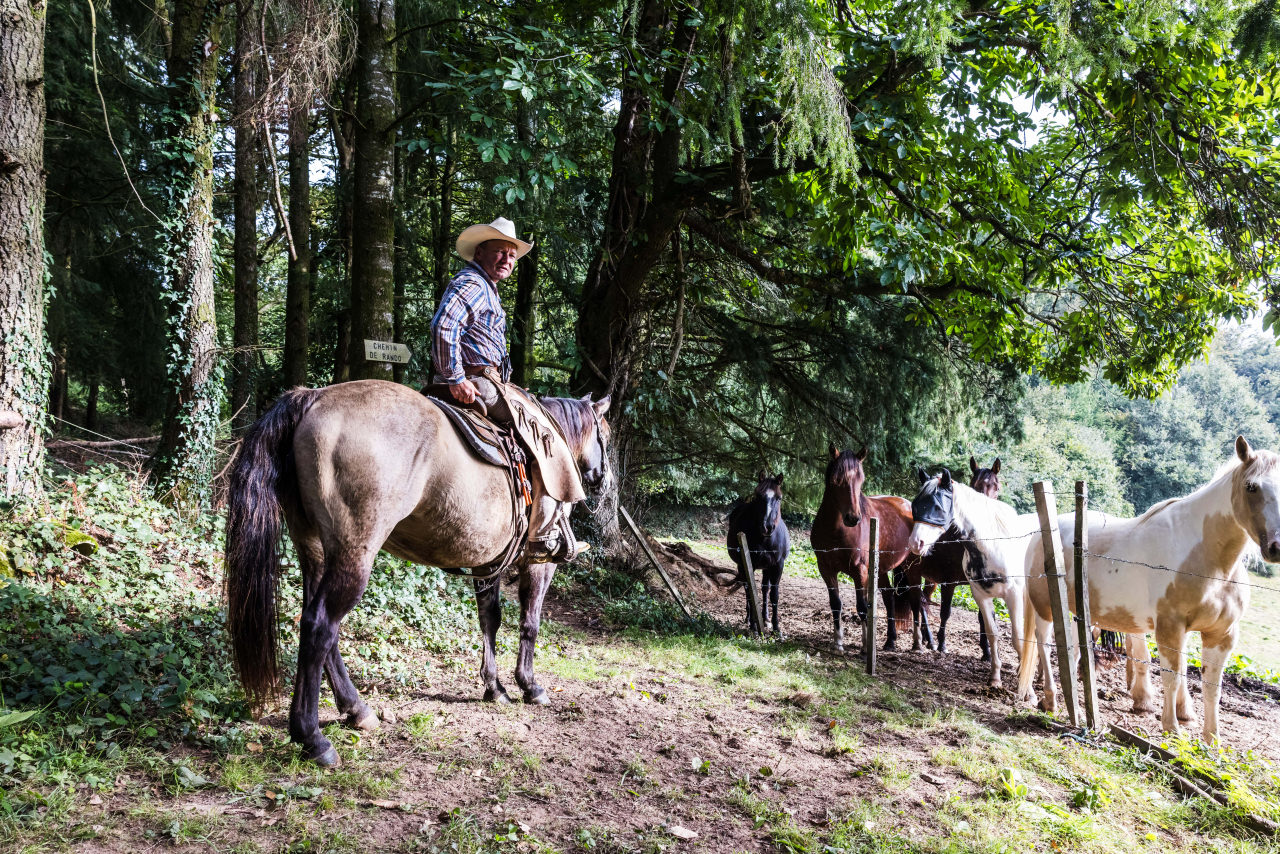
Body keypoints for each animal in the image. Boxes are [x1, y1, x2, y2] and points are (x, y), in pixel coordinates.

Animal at [222, 381, 611, 768]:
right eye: (605, 434)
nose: (604, 481)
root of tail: (313, 397)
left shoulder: (487, 563)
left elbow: (490, 620)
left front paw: (494, 687)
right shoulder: (540, 562)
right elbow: (529, 624)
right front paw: (530, 686)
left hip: (314, 549)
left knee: (314, 624)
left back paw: (356, 710)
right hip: (354, 554)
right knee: (321, 625)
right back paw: (312, 738)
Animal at [732, 473, 788, 635]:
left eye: (779, 497)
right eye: (758, 496)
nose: (767, 527)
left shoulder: (777, 565)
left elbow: (774, 595)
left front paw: (776, 627)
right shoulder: (748, 564)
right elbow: (751, 593)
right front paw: (754, 626)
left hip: (766, 568)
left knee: (764, 589)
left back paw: (765, 618)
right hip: (742, 567)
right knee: (747, 589)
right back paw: (749, 619)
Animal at [808, 445, 921, 650]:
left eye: (861, 479)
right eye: (837, 479)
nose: (853, 518)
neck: (836, 530)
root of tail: (908, 505)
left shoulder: (859, 571)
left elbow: (862, 607)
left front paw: (866, 645)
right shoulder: (826, 569)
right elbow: (835, 603)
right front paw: (838, 642)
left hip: (913, 567)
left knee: (915, 600)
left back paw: (918, 643)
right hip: (881, 569)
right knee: (889, 597)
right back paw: (890, 641)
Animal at [906, 471, 1044, 691]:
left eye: (937, 506)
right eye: (916, 504)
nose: (915, 544)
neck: (993, 545)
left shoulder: (1013, 597)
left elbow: (1017, 639)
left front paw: (1027, 690)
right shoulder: (981, 596)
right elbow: (992, 633)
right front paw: (995, 678)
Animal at [1018, 435, 1280, 742]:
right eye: (1251, 486)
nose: (1277, 546)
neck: (1206, 557)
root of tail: (1041, 533)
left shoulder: (1222, 635)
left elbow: (1211, 687)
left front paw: (1212, 740)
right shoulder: (1170, 627)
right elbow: (1172, 676)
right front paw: (1172, 728)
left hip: (1076, 614)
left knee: (1070, 652)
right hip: (1045, 609)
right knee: (1045, 646)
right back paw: (1049, 700)